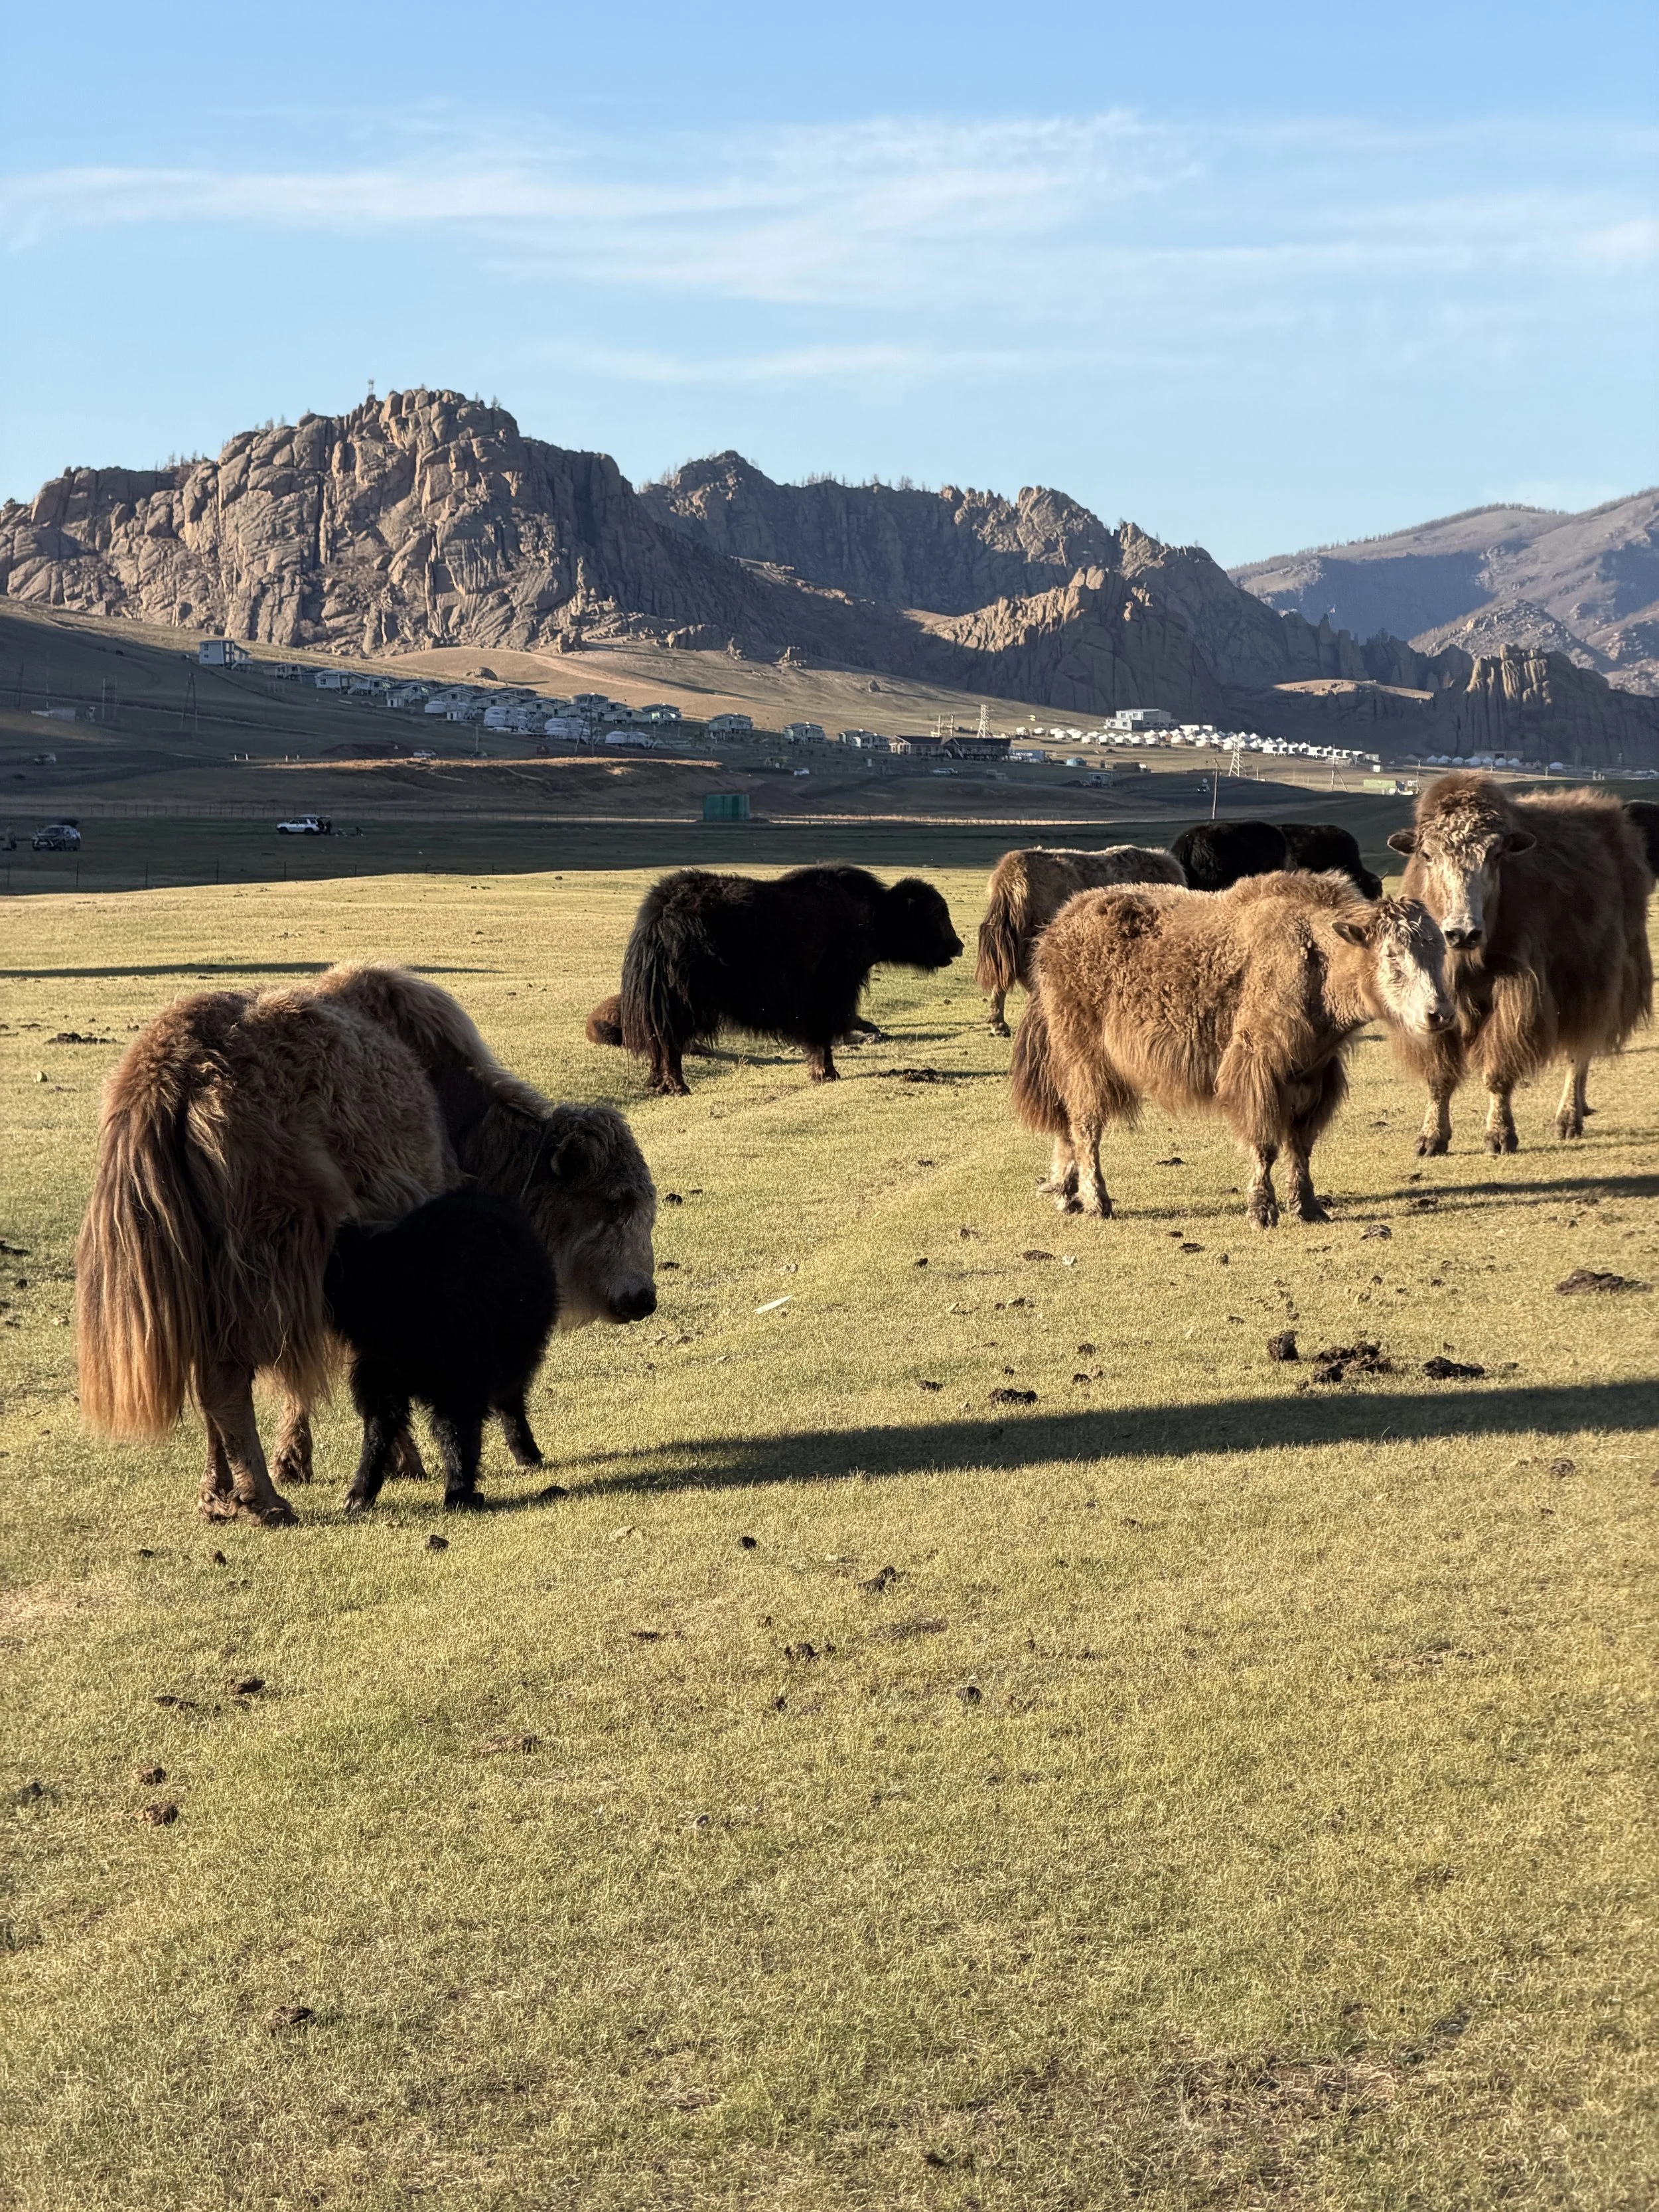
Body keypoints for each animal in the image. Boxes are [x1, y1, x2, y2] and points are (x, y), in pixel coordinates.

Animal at [325, 1191, 559, 1516]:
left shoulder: (463, 1377)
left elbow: (456, 1433)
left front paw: (458, 1493)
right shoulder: (380, 1377)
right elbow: (377, 1432)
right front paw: (358, 1496)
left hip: (517, 1352)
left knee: (510, 1400)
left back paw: (528, 1456)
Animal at [618, 865, 962, 1094]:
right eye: (936, 915)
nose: (958, 946)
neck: (872, 916)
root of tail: (659, 913)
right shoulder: (830, 993)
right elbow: (822, 1035)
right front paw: (827, 1073)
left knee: (660, 1040)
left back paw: (658, 1085)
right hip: (682, 1000)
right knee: (671, 1042)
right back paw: (678, 1086)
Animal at [1010, 874, 1452, 1229]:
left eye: (1441, 952)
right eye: (1391, 954)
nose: (1440, 1014)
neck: (1320, 960)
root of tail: (1055, 930)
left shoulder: (1312, 1075)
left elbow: (1301, 1144)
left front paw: (1309, 1207)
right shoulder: (1259, 1069)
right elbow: (1265, 1143)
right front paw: (1262, 1211)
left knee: (1068, 1125)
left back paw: (1066, 1194)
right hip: (1083, 1057)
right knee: (1085, 1126)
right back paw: (1096, 1201)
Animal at [1386, 773, 1654, 1154]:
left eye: (1496, 855)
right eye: (1427, 855)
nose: (1462, 932)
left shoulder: (1516, 989)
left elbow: (1499, 1069)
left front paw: (1500, 1136)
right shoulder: (1434, 995)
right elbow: (1439, 1073)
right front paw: (1431, 1138)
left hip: (1596, 982)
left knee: (1579, 1052)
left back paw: (1568, 1119)